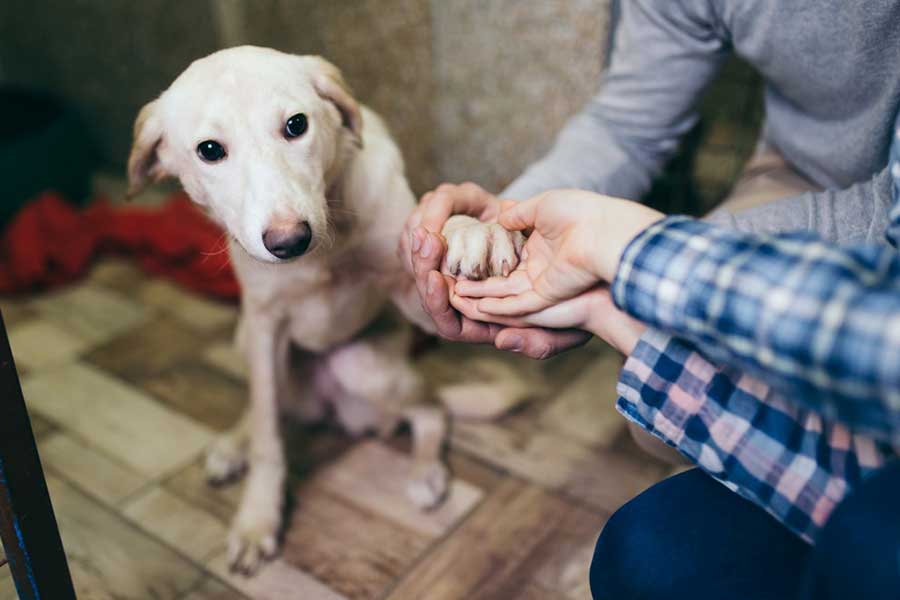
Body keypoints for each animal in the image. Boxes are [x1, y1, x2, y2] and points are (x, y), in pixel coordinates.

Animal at [125, 45, 520, 572]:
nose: (290, 241)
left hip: (366, 367)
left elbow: (438, 234)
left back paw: (425, 470)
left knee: (432, 409)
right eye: (209, 150)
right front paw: (258, 518)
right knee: (266, 407)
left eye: (296, 125)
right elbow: (268, 434)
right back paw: (234, 444)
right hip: (251, 343)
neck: (326, 248)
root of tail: (333, 409)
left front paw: (470, 230)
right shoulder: (264, 327)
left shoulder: (414, 293)